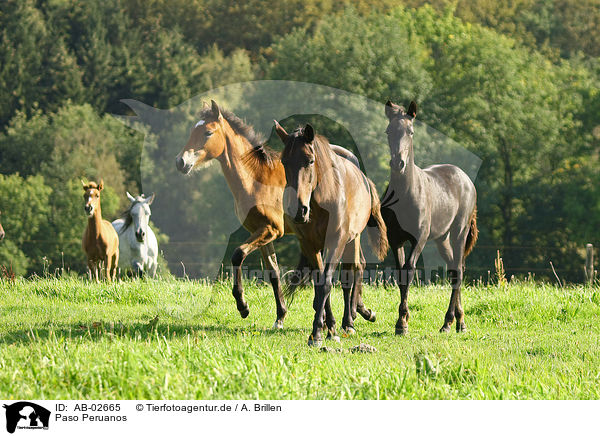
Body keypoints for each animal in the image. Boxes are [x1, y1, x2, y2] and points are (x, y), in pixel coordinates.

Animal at [276, 123, 390, 348]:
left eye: (310, 161)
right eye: (284, 162)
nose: (298, 210)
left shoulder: (337, 240)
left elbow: (329, 282)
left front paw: (320, 332)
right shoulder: (310, 245)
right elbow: (320, 284)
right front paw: (325, 329)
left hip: (352, 240)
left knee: (352, 275)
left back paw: (349, 322)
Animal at [380, 101, 478, 334]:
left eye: (410, 131)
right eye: (389, 131)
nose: (398, 163)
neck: (405, 193)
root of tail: (467, 180)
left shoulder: (420, 238)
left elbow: (409, 271)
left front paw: (402, 323)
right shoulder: (395, 239)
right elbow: (400, 275)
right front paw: (402, 321)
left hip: (459, 232)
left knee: (458, 271)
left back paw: (449, 322)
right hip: (442, 239)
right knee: (454, 269)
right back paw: (458, 321)